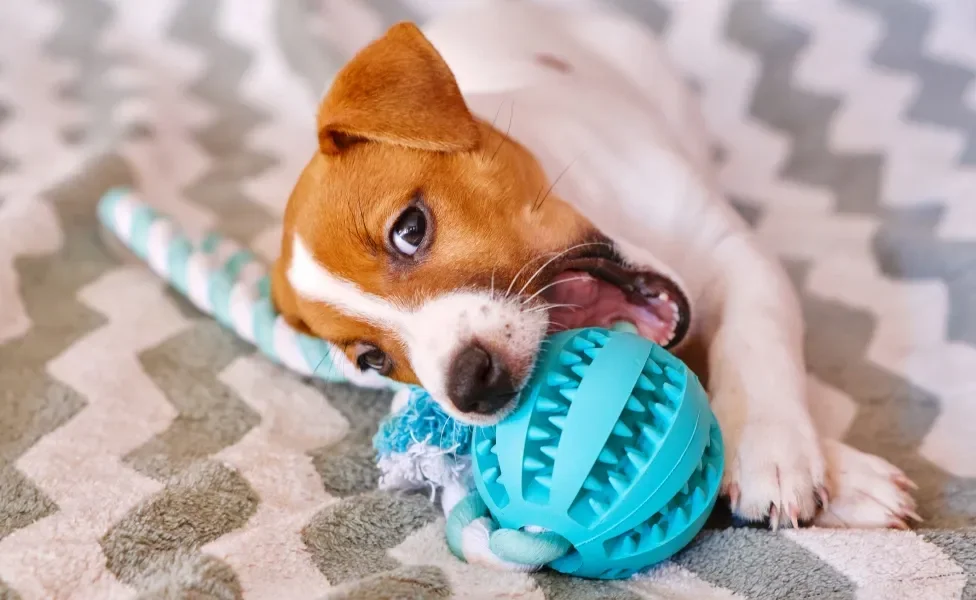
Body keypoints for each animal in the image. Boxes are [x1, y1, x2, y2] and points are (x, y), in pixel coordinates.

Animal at [270, 3, 920, 528]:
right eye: (372, 360)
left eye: (410, 229)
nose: (471, 389)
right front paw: (843, 478)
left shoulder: (737, 254)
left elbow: (753, 341)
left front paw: (773, 451)